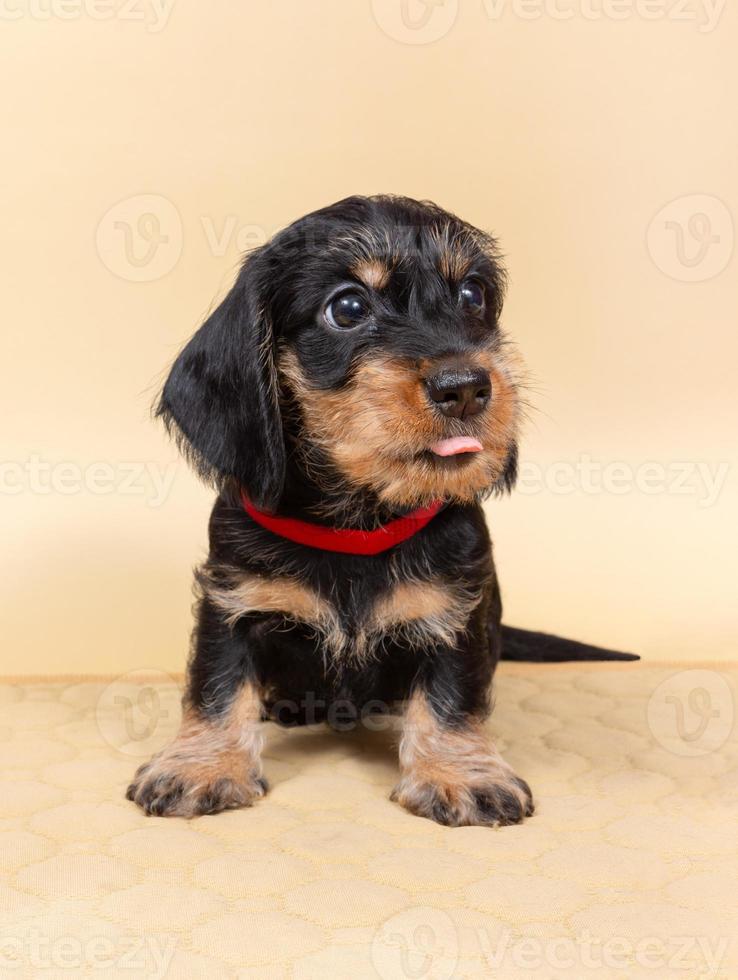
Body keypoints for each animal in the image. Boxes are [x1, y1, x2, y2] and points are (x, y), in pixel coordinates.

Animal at [126, 193, 632, 828]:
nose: (466, 386)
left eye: (473, 295)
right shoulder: (233, 601)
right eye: (347, 308)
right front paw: (201, 765)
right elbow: (217, 685)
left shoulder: (456, 611)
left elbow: (451, 696)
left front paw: (462, 772)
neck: (359, 520)